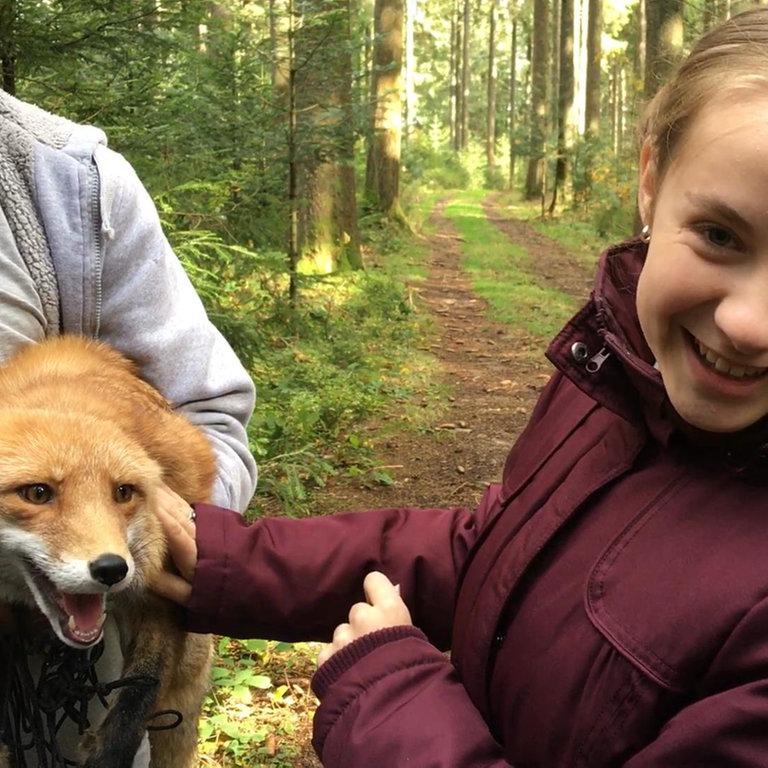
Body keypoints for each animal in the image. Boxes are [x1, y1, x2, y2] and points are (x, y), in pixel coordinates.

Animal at [0, 340, 216, 768]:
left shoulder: (164, 591)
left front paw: (109, 753)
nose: (112, 569)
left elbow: (140, 694)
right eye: (37, 493)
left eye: (123, 492)